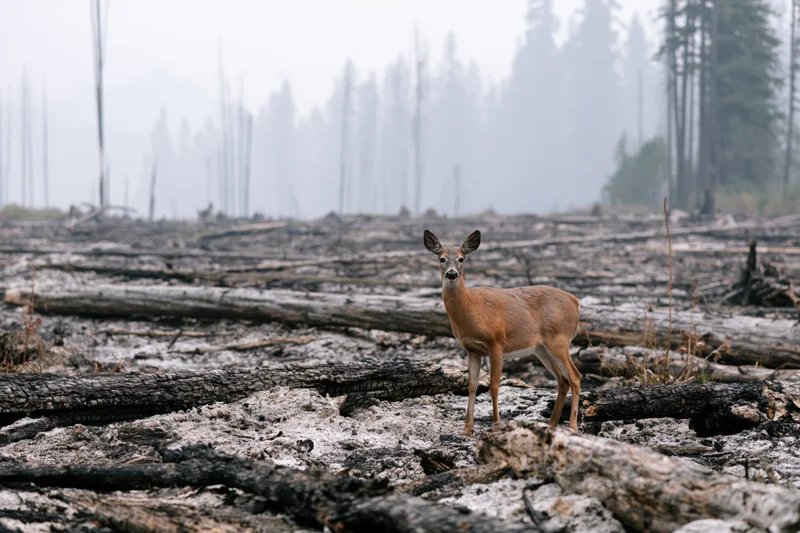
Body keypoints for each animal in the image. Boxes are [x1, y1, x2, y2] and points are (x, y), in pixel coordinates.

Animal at [423, 229, 582, 435]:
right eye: (441, 258)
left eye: (461, 258)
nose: (452, 274)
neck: (473, 309)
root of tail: (575, 301)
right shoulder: (472, 349)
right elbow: (472, 386)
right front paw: (467, 429)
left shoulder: (496, 342)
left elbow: (494, 386)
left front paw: (496, 425)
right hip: (541, 348)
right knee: (563, 380)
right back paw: (551, 425)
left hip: (559, 339)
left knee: (575, 377)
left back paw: (572, 426)